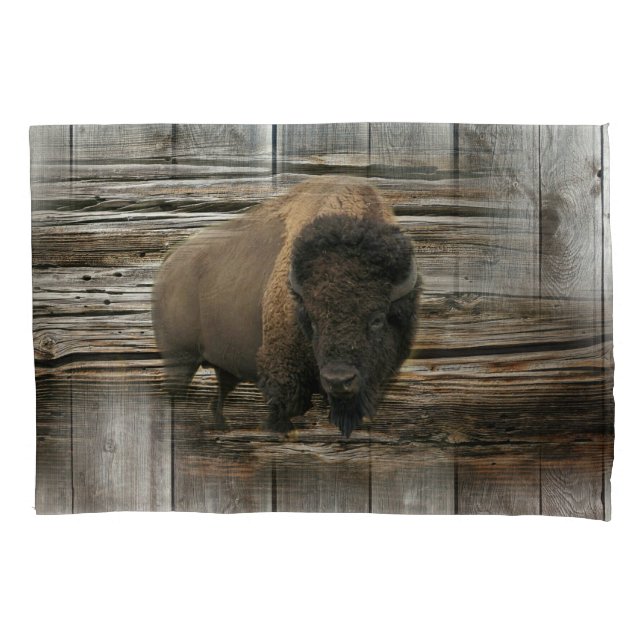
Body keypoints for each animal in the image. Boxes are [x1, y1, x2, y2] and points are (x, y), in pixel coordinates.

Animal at [152, 176, 420, 437]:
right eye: (312, 319)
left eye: (377, 319)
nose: (338, 380)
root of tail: (169, 263)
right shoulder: (284, 375)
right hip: (180, 359)